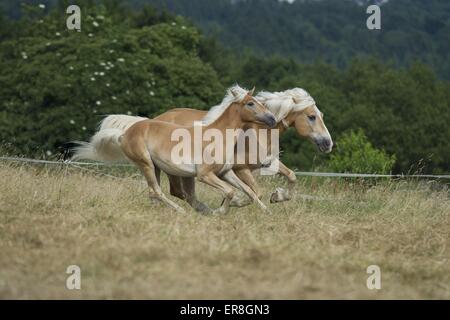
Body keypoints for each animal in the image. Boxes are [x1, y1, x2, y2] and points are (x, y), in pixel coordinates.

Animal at [73, 86, 276, 214]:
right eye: (250, 103)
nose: (272, 119)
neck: (217, 136)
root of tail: (124, 133)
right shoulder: (205, 175)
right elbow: (230, 192)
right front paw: (220, 211)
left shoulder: (225, 172)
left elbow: (250, 192)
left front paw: (266, 210)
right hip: (146, 164)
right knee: (157, 191)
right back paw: (183, 211)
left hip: (156, 167)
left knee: (158, 193)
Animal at [97, 89, 330, 211]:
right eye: (311, 116)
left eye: (321, 115)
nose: (328, 143)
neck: (257, 131)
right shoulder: (240, 169)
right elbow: (254, 192)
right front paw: (236, 203)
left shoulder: (265, 163)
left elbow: (290, 177)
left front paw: (277, 197)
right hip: (168, 168)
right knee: (174, 192)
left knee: (173, 193)